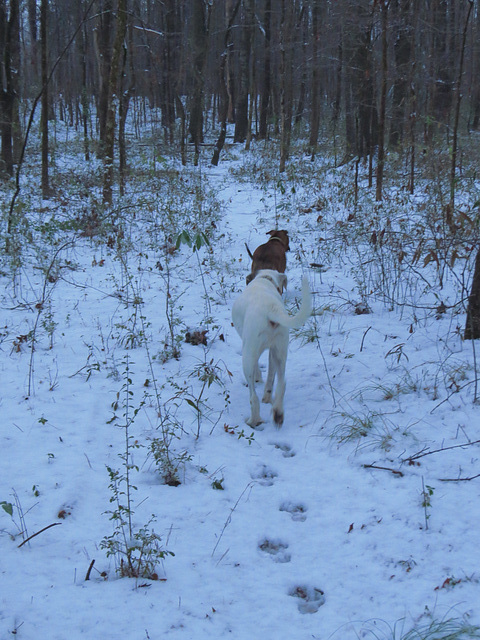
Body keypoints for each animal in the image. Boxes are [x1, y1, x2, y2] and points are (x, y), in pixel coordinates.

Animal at [232, 268, 314, 428]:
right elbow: (271, 377)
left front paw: (258, 378)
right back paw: (277, 412)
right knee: (281, 384)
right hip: (280, 351)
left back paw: (254, 420)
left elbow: (258, 369)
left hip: (248, 355)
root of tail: (271, 308)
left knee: (253, 396)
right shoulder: (272, 351)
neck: (265, 279)